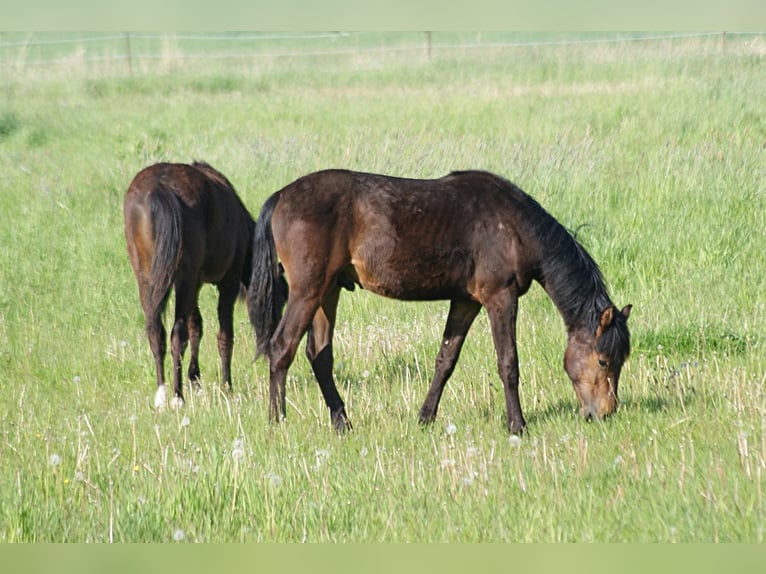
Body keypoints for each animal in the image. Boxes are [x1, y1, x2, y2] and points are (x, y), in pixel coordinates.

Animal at [124, 163, 256, 410]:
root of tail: (160, 187)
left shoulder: (194, 283)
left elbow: (197, 327)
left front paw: (195, 378)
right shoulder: (228, 282)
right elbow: (224, 336)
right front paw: (227, 387)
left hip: (148, 278)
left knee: (156, 332)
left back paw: (161, 395)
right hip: (185, 279)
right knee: (177, 335)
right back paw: (177, 397)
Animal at [249, 169, 632, 434]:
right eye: (603, 361)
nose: (605, 413)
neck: (514, 226)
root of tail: (281, 195)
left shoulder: (465, 301)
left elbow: (445, 361)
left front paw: (425, 417)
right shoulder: (500, 297)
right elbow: (508, 363)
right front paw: (517, 425)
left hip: (328, 291)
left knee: (320, 355)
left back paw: (342, 421)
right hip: (307, 291)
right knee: (282, 348)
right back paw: (277, 420)